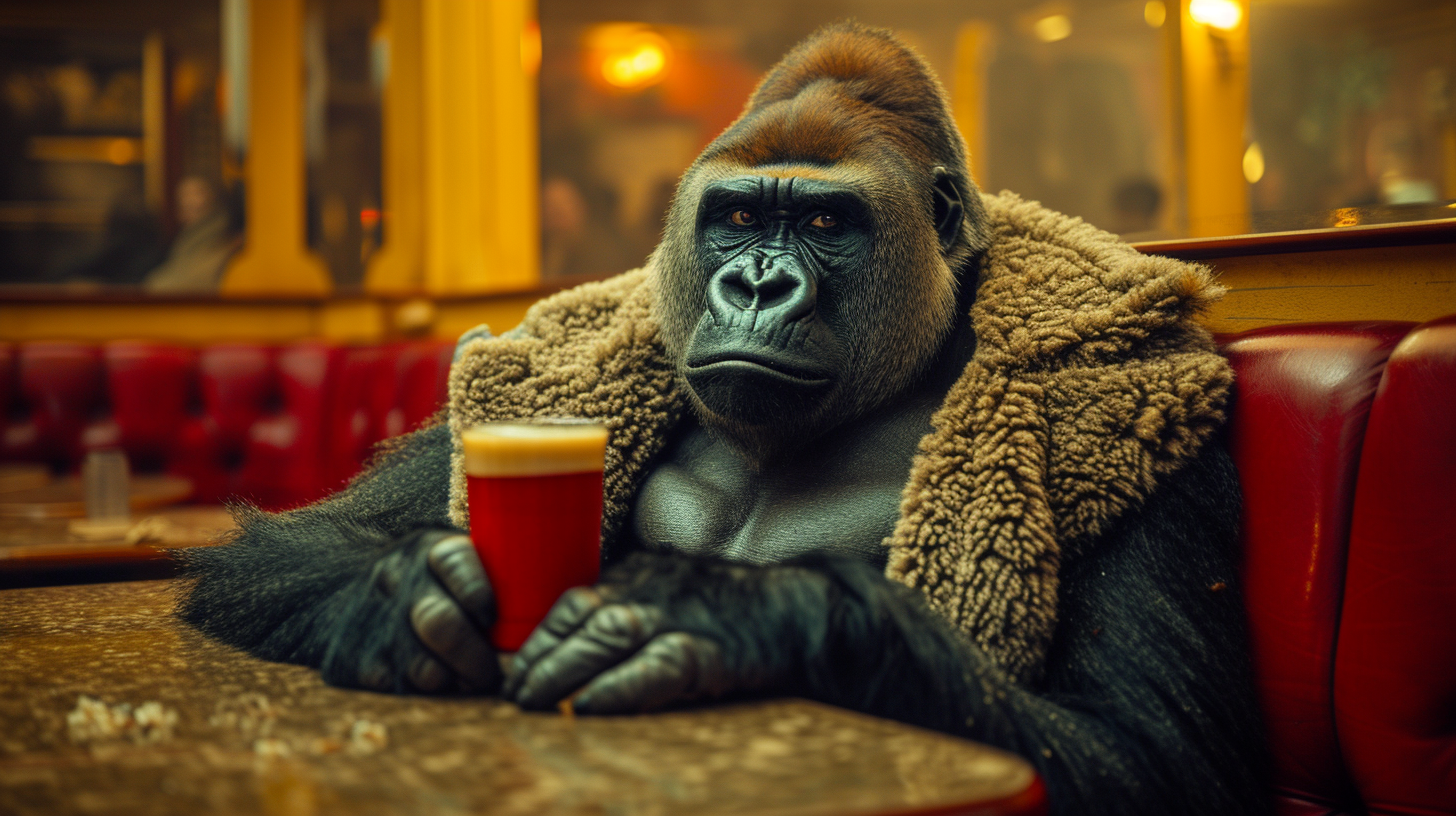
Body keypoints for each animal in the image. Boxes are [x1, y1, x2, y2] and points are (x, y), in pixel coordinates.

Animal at [178, 23, 1268, 816]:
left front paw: (729, 612)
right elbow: (291, 544)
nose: (756, 284)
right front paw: (401, 593)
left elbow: (1135, 744)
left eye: (825, 223)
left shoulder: (1146, 419)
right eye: (738, 219)